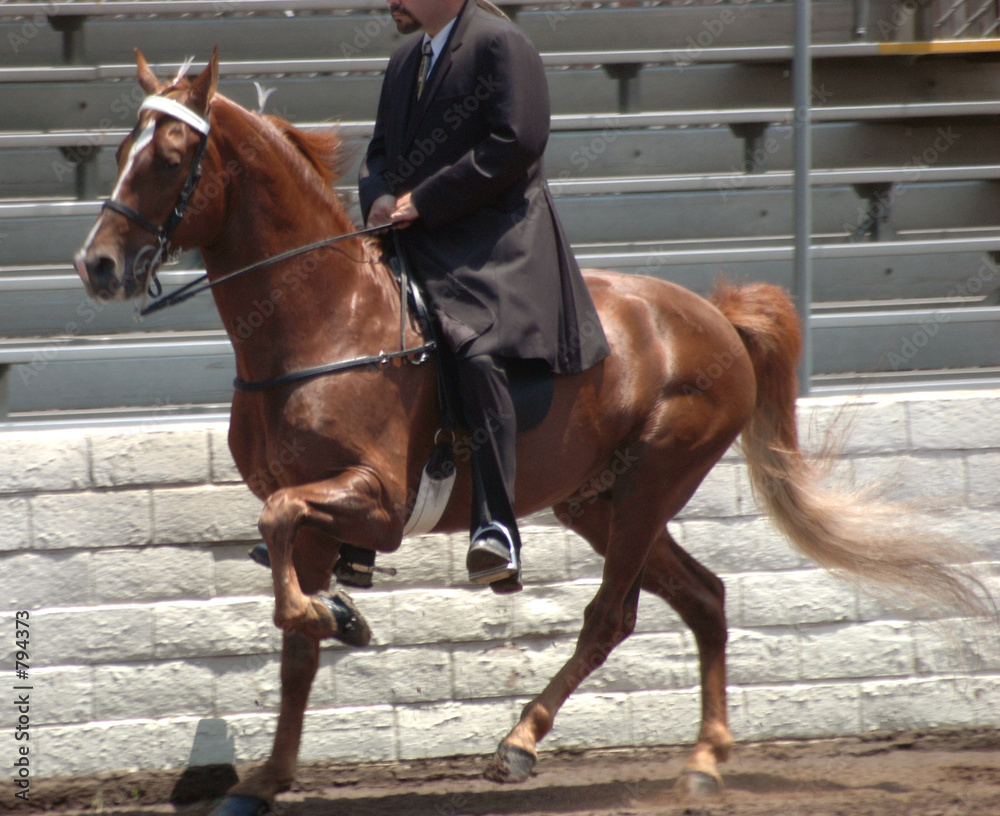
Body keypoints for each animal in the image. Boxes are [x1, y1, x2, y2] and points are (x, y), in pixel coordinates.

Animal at [74, 50, 988, 814]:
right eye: (120, 147)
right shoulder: (317, 516)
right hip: (600, 500)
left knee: (611, 617)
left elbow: (283, 543)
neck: (323, 320)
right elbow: (292, 633)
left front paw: (336, 618)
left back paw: (520, 743)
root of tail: (713, 316)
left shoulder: (375, 502)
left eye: (167, 157)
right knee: (703, 598)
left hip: (654, 481)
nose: (96, 266)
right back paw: (702, 761)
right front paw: (266, 773)